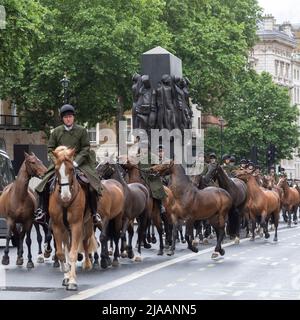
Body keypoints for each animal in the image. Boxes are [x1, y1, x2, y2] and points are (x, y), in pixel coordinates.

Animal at [49, 146, 96, 292]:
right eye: (56, 169)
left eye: (71, 169)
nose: (65, 196)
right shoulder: (57, 227)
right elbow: (61, 253)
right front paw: (65, 271)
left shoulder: (76, 225)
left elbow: (73, 253)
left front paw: (73, 281)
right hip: (65, 230)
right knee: (66, 248)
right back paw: (67, 274)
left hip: (87, 226)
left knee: (85, 243)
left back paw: (87, 264)